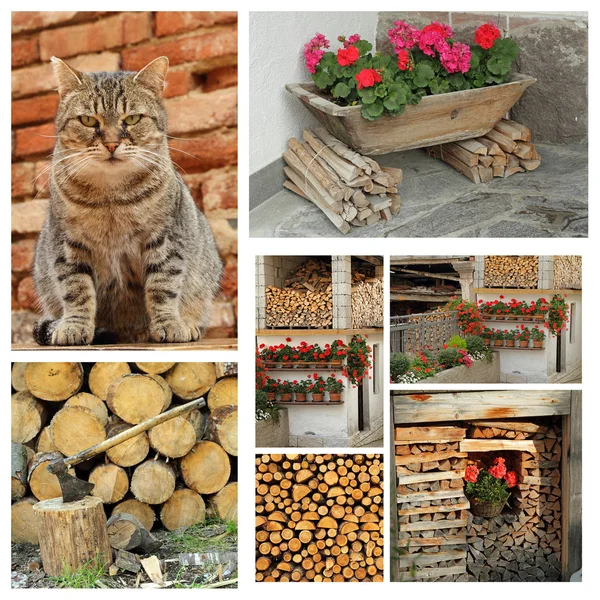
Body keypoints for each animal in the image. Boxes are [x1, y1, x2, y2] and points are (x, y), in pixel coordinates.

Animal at [32, 56, 223, 346]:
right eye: (88, 120)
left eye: (132, 119)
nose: (111, 144)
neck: (112, 198)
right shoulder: (67, 244)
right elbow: (75, 290)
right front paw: (74, 326)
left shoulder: (166, 240)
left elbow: (163, 287)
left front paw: (169, 324)